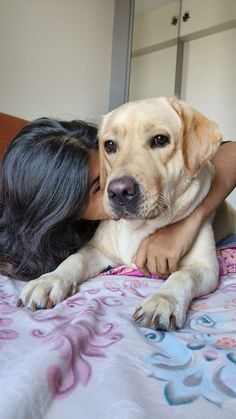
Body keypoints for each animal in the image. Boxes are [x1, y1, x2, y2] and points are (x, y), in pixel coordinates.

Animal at [18, 98, 236, 332]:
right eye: (109, 145)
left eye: (160, 139)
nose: (119, 191)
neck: (139, 226)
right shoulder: (97, 250)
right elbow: (74, 259)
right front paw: (49, 280)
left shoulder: (206, 267)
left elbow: (183, 275)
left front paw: (163, 300)